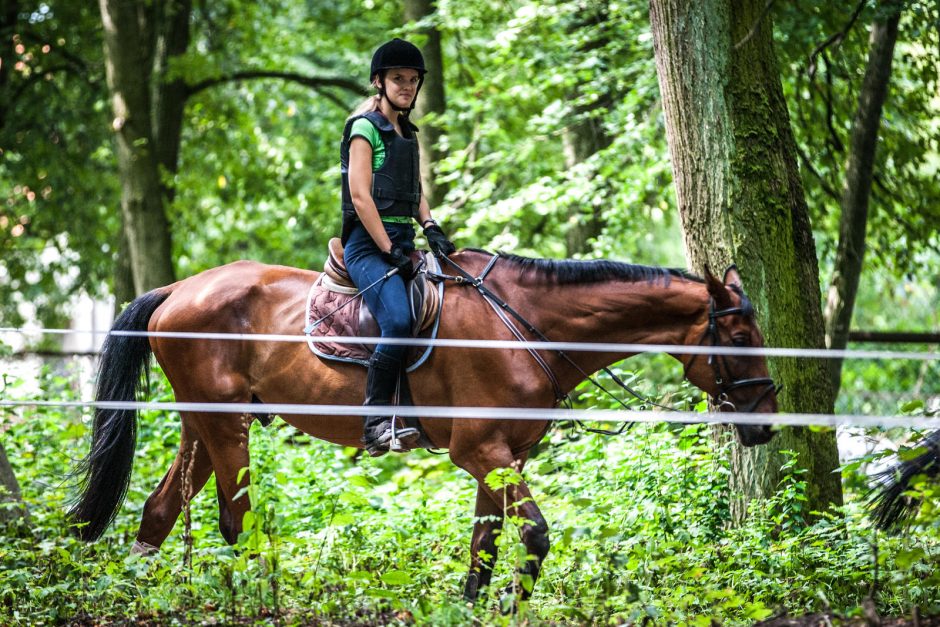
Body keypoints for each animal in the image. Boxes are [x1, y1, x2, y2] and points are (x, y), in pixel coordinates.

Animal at [70, 250, 780, 604]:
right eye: (739, 337)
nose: (767, 425)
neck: (525, 324)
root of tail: (177, 290)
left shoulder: (503, 455)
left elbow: (484, 545)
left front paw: (472, 607)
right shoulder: (481, 450)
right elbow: (536, 535)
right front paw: (508, 606)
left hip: (202, 421)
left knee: (160, 510)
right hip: (226, 427)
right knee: (233, 521)